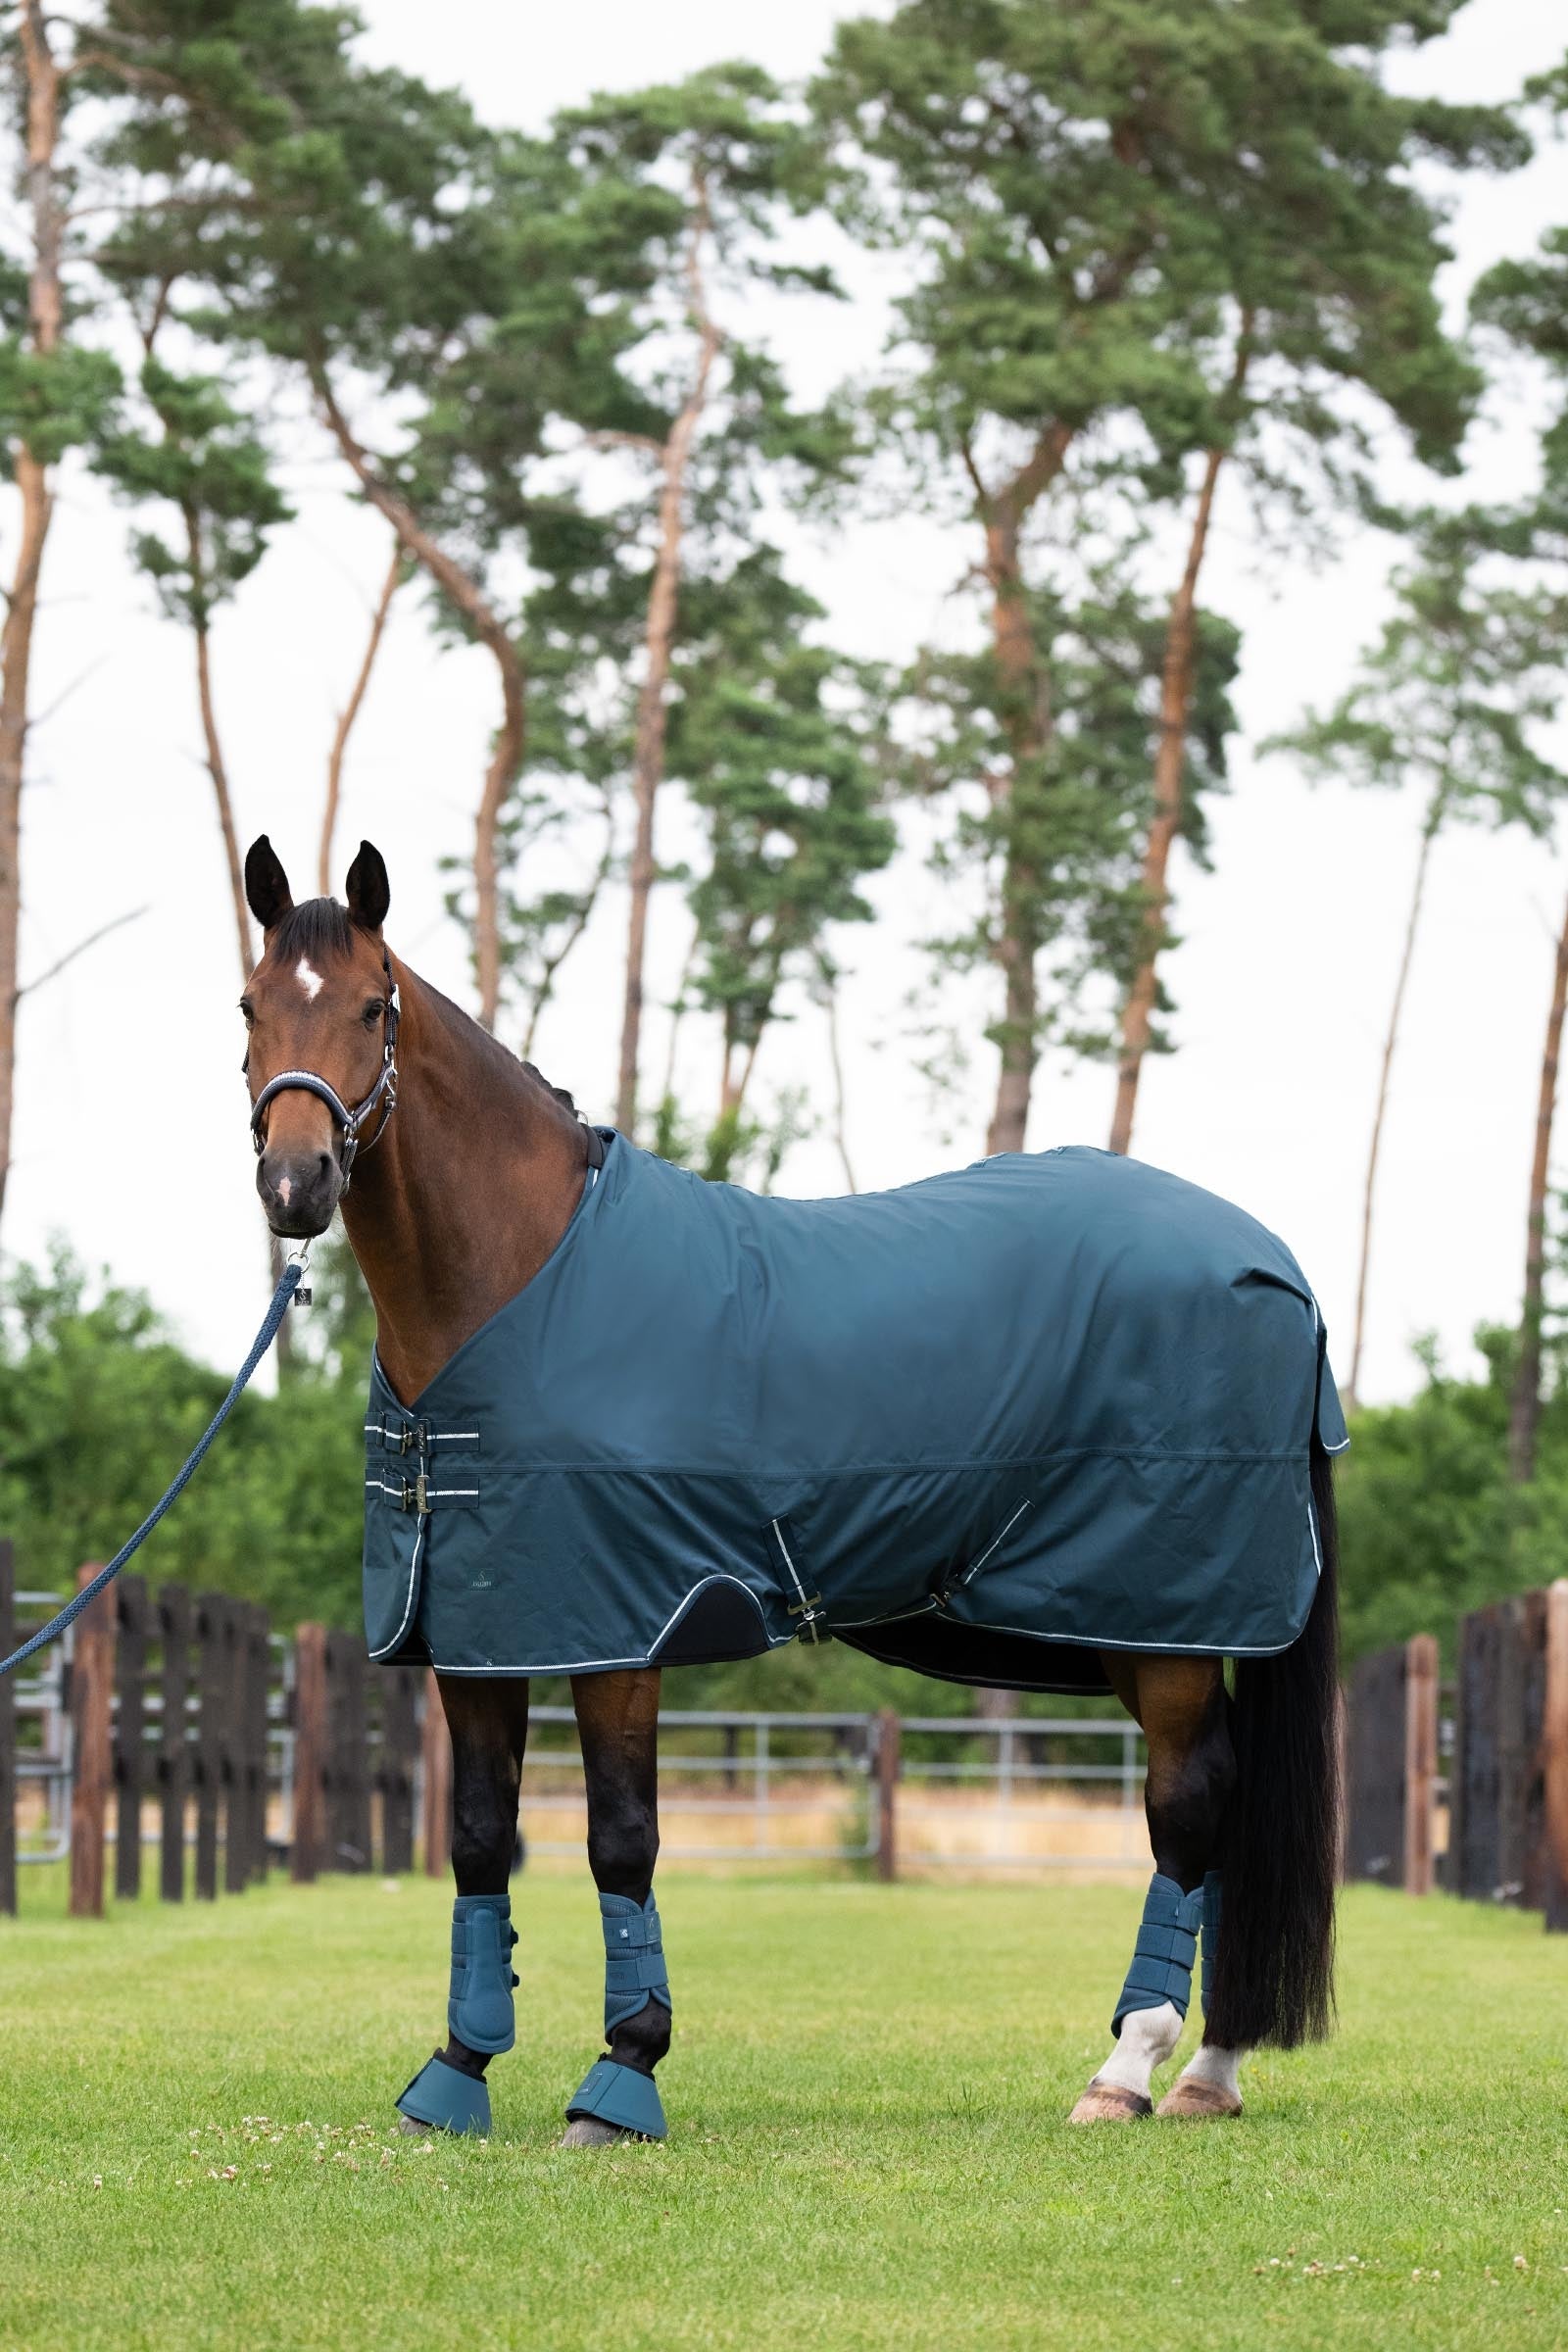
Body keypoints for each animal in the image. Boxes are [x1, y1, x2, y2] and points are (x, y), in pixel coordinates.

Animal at [239, 833, 1341, 2141]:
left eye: (372, 1006)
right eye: (249, 1006)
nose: (295, 1182)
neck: (518, 1283)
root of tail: (1274, 1263)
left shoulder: (625, 1628)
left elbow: (622, 1842)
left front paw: (622, 2075)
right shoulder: (477, 1636)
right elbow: (477, 1844)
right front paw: (457, 2074)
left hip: (1161, 1624)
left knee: (1189, 1808)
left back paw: (1130, 2068)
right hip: (1136, 1628)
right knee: (1221, 1818)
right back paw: (1204, 2073)